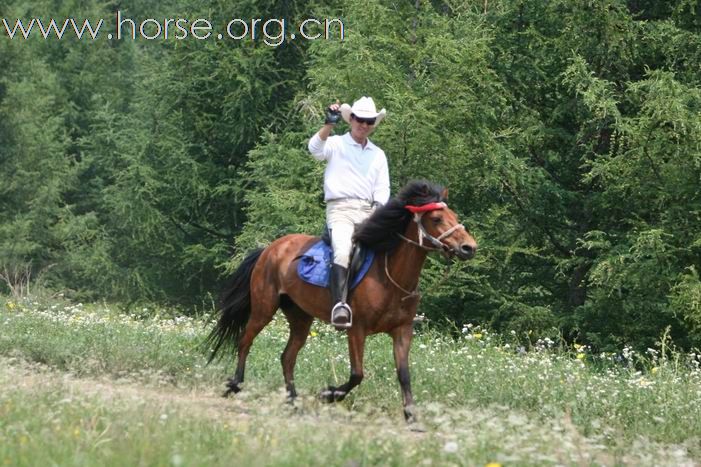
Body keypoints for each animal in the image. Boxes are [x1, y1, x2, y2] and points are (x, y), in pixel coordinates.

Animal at [206, 181, 476, 422]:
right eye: (437, 218)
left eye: (454, 215)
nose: (469, 247)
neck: (390, 275)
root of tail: (269, 249)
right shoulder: (356, 329)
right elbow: (357, 374)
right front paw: (328, 394)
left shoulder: (402, 331)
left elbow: (404, 374)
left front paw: (411, 415)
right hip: (264, 308)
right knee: (245, 340)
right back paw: (235, 385)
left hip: (300, 317)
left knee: (287, 357)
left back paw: (293, 401)